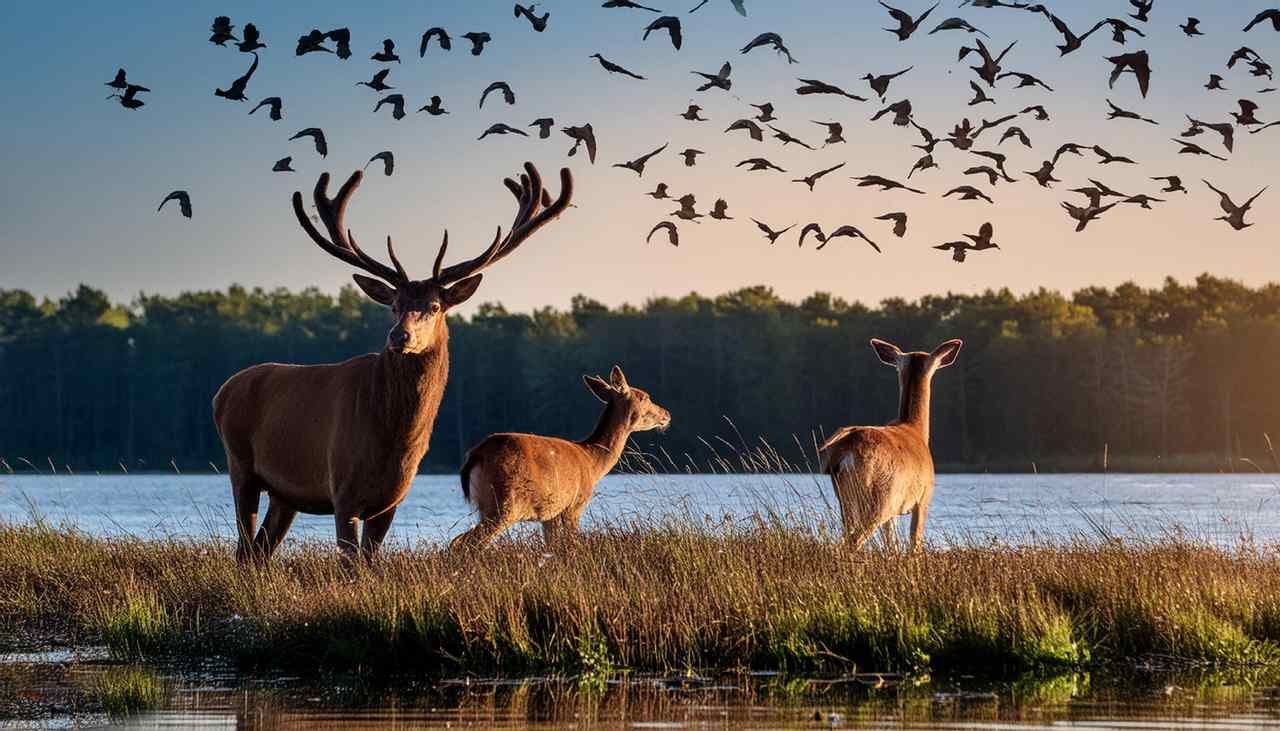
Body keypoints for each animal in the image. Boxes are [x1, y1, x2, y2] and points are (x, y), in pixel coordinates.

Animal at [212, 162, 573, 564]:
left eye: (435, 305)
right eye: (394, 305)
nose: (399, 337)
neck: (391, 440)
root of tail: (222, 392)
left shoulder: (391, 501)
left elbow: (371, 562)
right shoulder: (343, 489)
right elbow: (351, 565)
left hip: (285, 494)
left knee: (259, 548)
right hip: (240, 463)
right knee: (244, 546)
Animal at [450, 365, 671, 550]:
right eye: (645, 397)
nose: (666, 414)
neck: (592, 462)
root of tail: (476, 456)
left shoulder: (551, 513)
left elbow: (552, 548)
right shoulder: (575, 504)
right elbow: (572, 544)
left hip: (487, 506)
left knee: (459, 540)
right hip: (505, 502)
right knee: (465, 542)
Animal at [818, 338, 963, 552]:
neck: (916, 429)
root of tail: (846, 453)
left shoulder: (895, 512)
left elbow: (891, 545)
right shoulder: (924, 498)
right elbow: (914, 543)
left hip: (845, 497)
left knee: (846, 536)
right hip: (881, 498)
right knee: (855, 540)